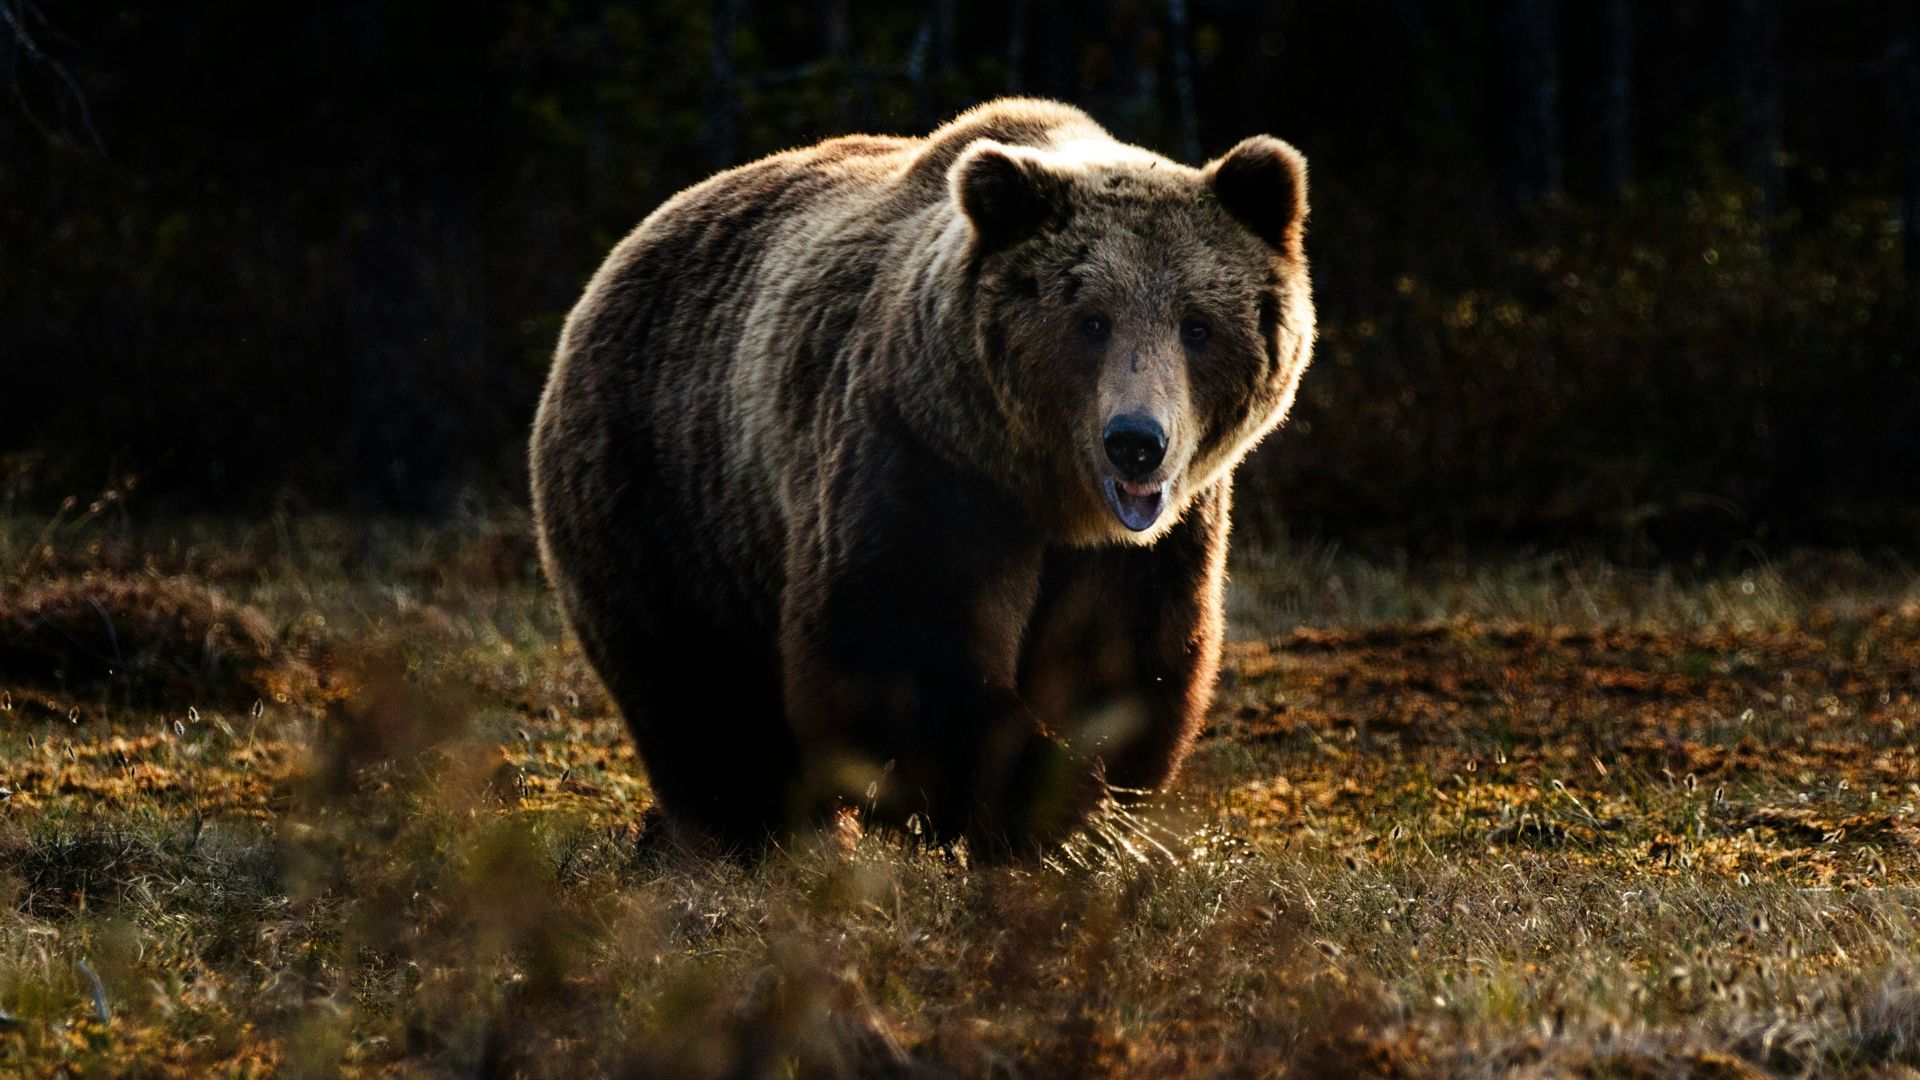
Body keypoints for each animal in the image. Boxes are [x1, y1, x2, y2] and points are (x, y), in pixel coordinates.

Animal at [530, 98, 1314, 853]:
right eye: (1091, 321)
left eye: (1196, 325)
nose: (1136, 443)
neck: (1048, 492)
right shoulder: (924, 457)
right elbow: (894, 642)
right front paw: (1047, 811)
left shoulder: (1156, 539)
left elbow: (1123, 660)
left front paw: (1091, 812)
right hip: (667, 489)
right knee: (699, 692)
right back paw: (749, 834)